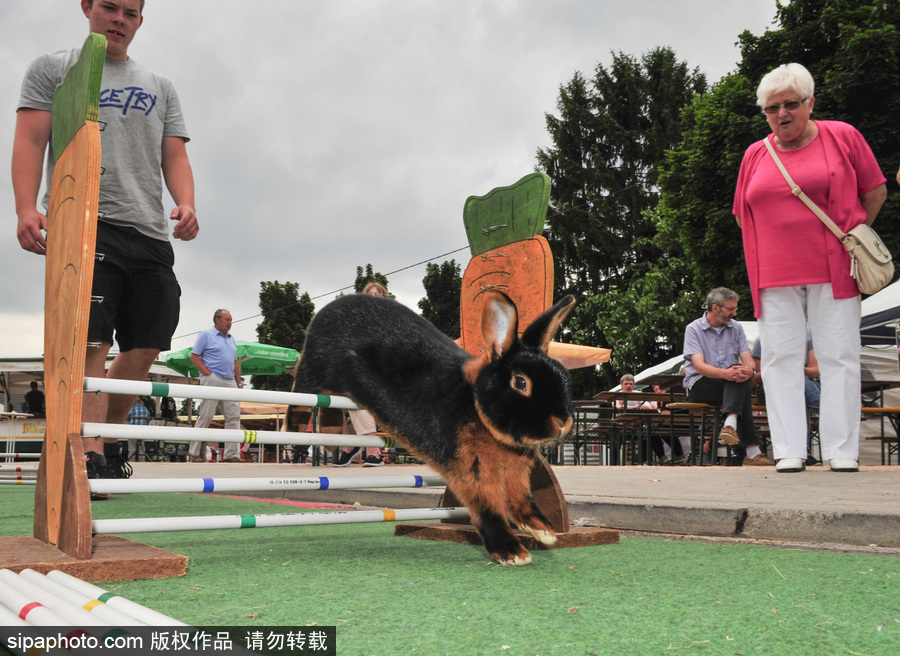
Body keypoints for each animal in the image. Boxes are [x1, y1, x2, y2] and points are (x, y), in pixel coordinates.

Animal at [292, 290, 580, 568]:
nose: (563, 421)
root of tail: (328, 310)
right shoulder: (473, 474)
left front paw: (545, 532)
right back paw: (297, 419)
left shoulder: (516, 477)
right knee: (302, 395)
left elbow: (523, 503)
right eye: (520, 382)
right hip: (314, 373)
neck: (475, 405)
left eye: (564, 374)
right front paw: (512, 553)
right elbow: (489, 510)